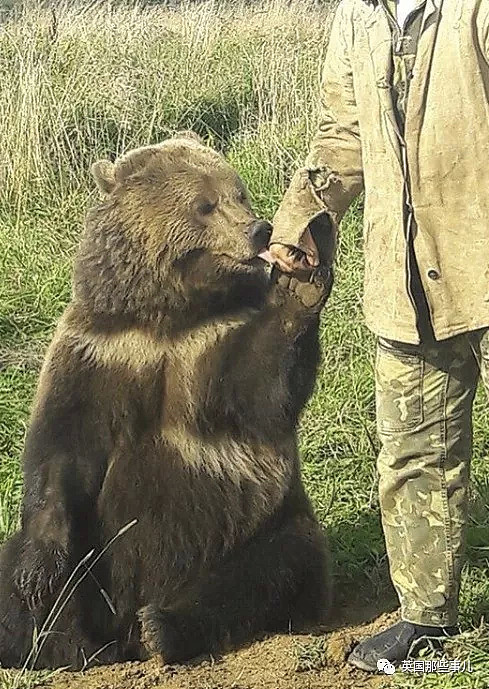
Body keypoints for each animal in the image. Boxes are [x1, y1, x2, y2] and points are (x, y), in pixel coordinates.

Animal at [0, 132, 332, 668]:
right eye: (205, 204)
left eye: (238, 192)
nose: (259, 229)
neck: (168, 316)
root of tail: (123, 625)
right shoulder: (99, 350)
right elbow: (62, 448)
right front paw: (38, 575)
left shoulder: (213, 344)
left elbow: (261, 395)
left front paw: (300, 284)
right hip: (99, 557)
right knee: (18, 584)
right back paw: (65, 642)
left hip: (256, 528)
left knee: (276, 567)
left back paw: (162, 626)